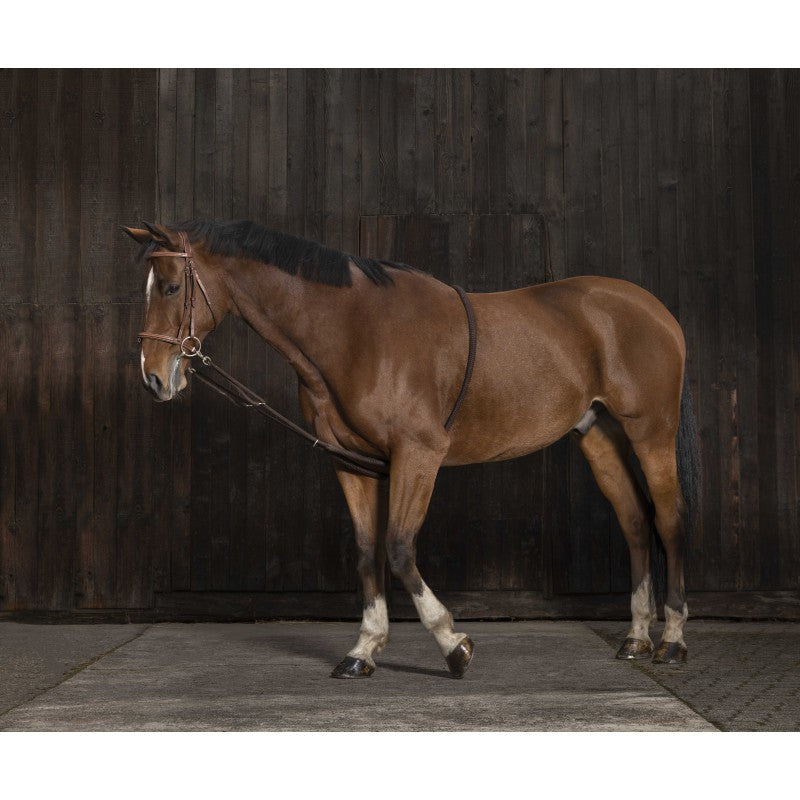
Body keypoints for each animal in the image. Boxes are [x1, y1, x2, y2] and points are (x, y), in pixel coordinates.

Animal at [123, 219, 693, 678]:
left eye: (171, 286)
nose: (154, 379)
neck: (356, 333)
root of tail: (656, 310)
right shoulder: (350, 463)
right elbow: (367, 552)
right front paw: (363, 650)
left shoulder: (418, 456)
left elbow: (398, 548)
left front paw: (454, 645)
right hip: (599, 434)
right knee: (635, 522)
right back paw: (636, 639)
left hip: (651, 432)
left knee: (668, 521)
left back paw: (672, 641)